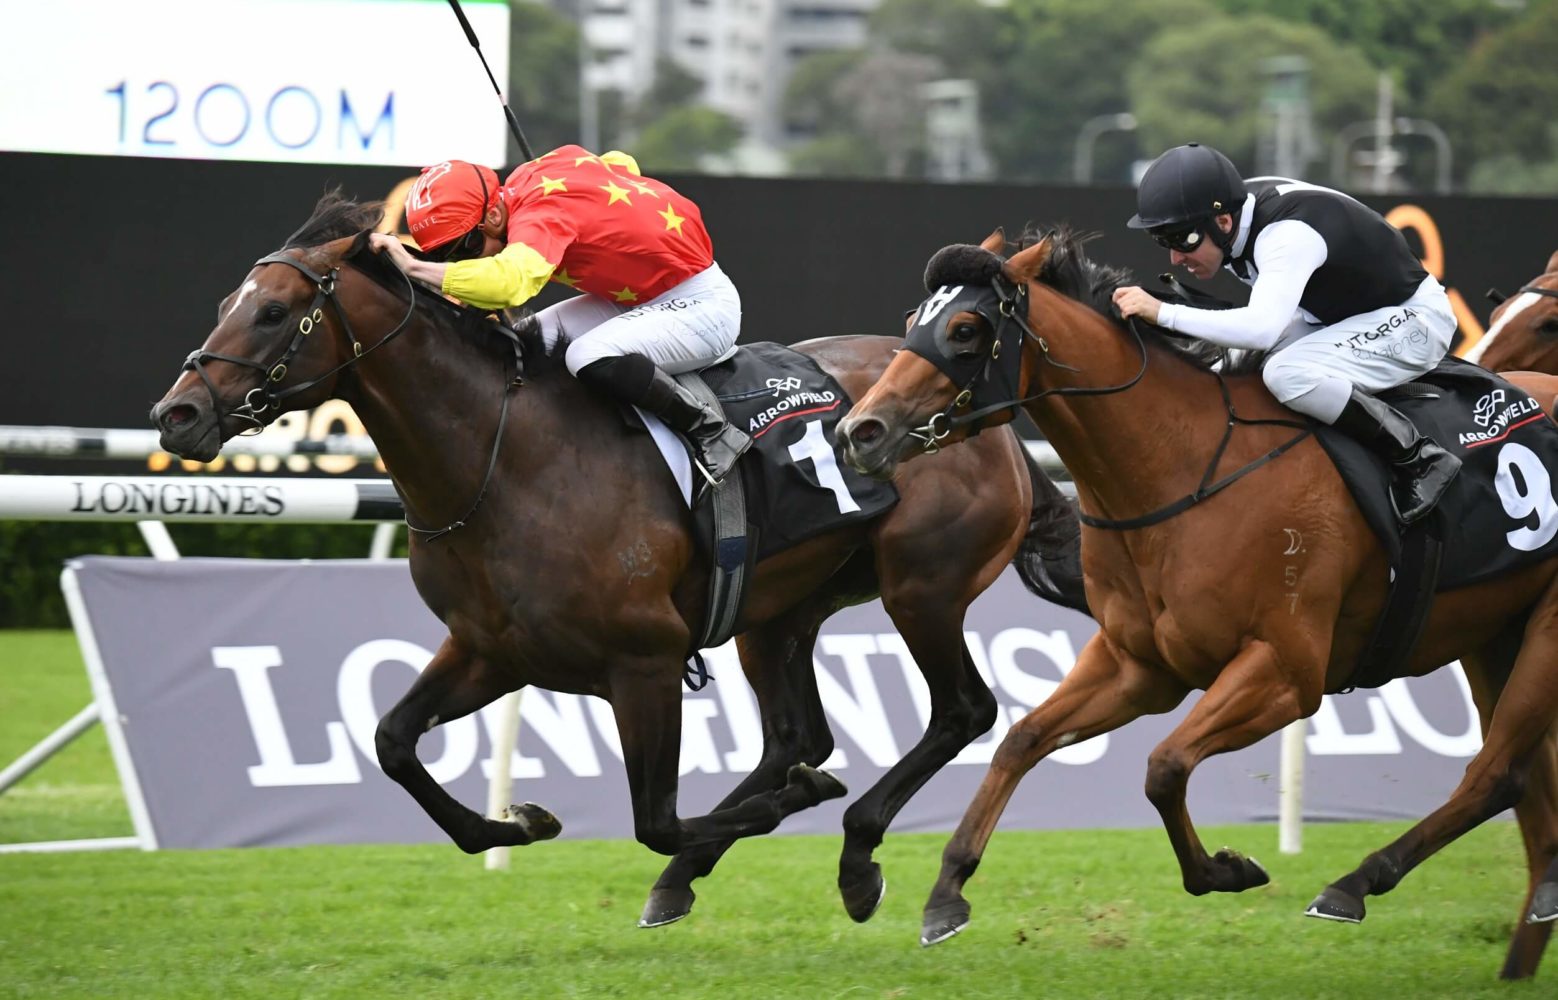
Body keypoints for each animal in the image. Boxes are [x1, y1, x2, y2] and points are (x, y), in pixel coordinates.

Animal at [149, 194, 1089, 929]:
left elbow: (656, 819)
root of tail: (991, 422)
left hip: (921, 587)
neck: (504, 461)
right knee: (796, 734)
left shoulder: (645, 661)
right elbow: (392, 742)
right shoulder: (491, 649)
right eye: (231, 300)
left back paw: (854, 853)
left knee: (962, 711)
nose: (177, 414)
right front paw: (516, 825)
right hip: (782, 608)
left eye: (274, 312)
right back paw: (704, 872)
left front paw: (800, 804)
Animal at [835, 227, 1558, 980]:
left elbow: (1165, 767)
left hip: (1544, 634)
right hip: (1490, 635)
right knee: (1521, 787)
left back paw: (1355, 883)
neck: (1179, 468)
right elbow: (1022, 739)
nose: (860, 431)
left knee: (1494, 774)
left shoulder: (1285, 671)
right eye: (914, 322)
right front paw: (946, 889)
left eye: (966, 329)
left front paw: (1226, 869)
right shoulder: (1137, 666)